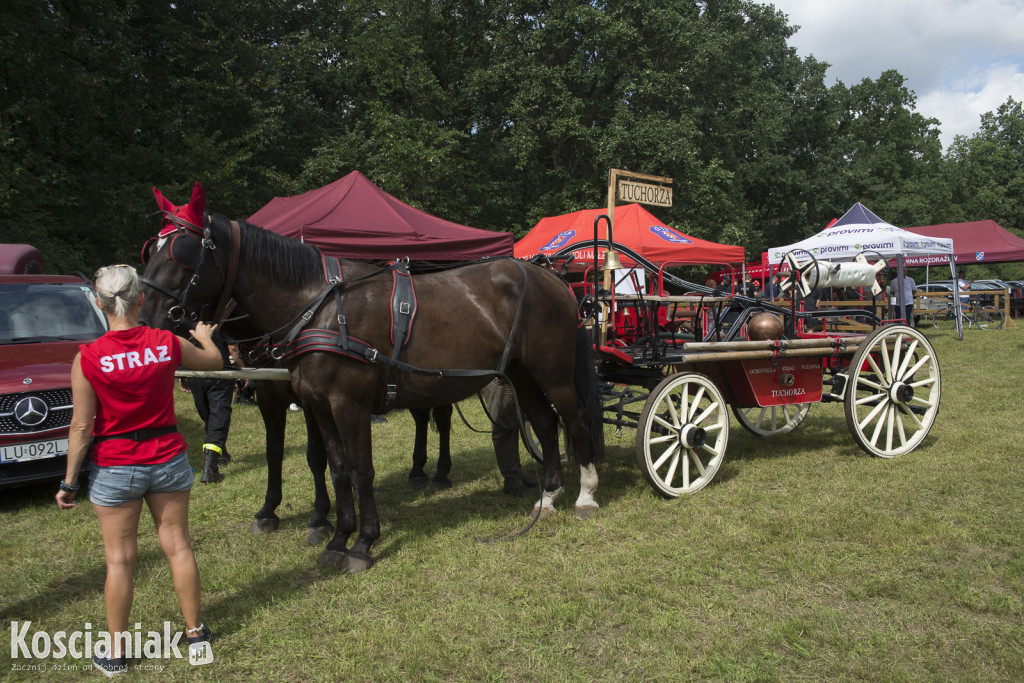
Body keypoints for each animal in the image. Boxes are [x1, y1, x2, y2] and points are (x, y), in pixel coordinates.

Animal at [136, 209, 598, 573]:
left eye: (182, 253)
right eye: (150, 249)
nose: (145, 318)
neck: (316, 306)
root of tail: (549, 275)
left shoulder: (349, 405)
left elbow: (361, 471)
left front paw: (362, 542)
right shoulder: (319, 406)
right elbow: (336, 468)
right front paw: (337, 537)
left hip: (554, 373)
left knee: (575, 420)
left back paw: (586, 494)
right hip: (521, 374)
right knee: (545, 422)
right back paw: (548, 496)